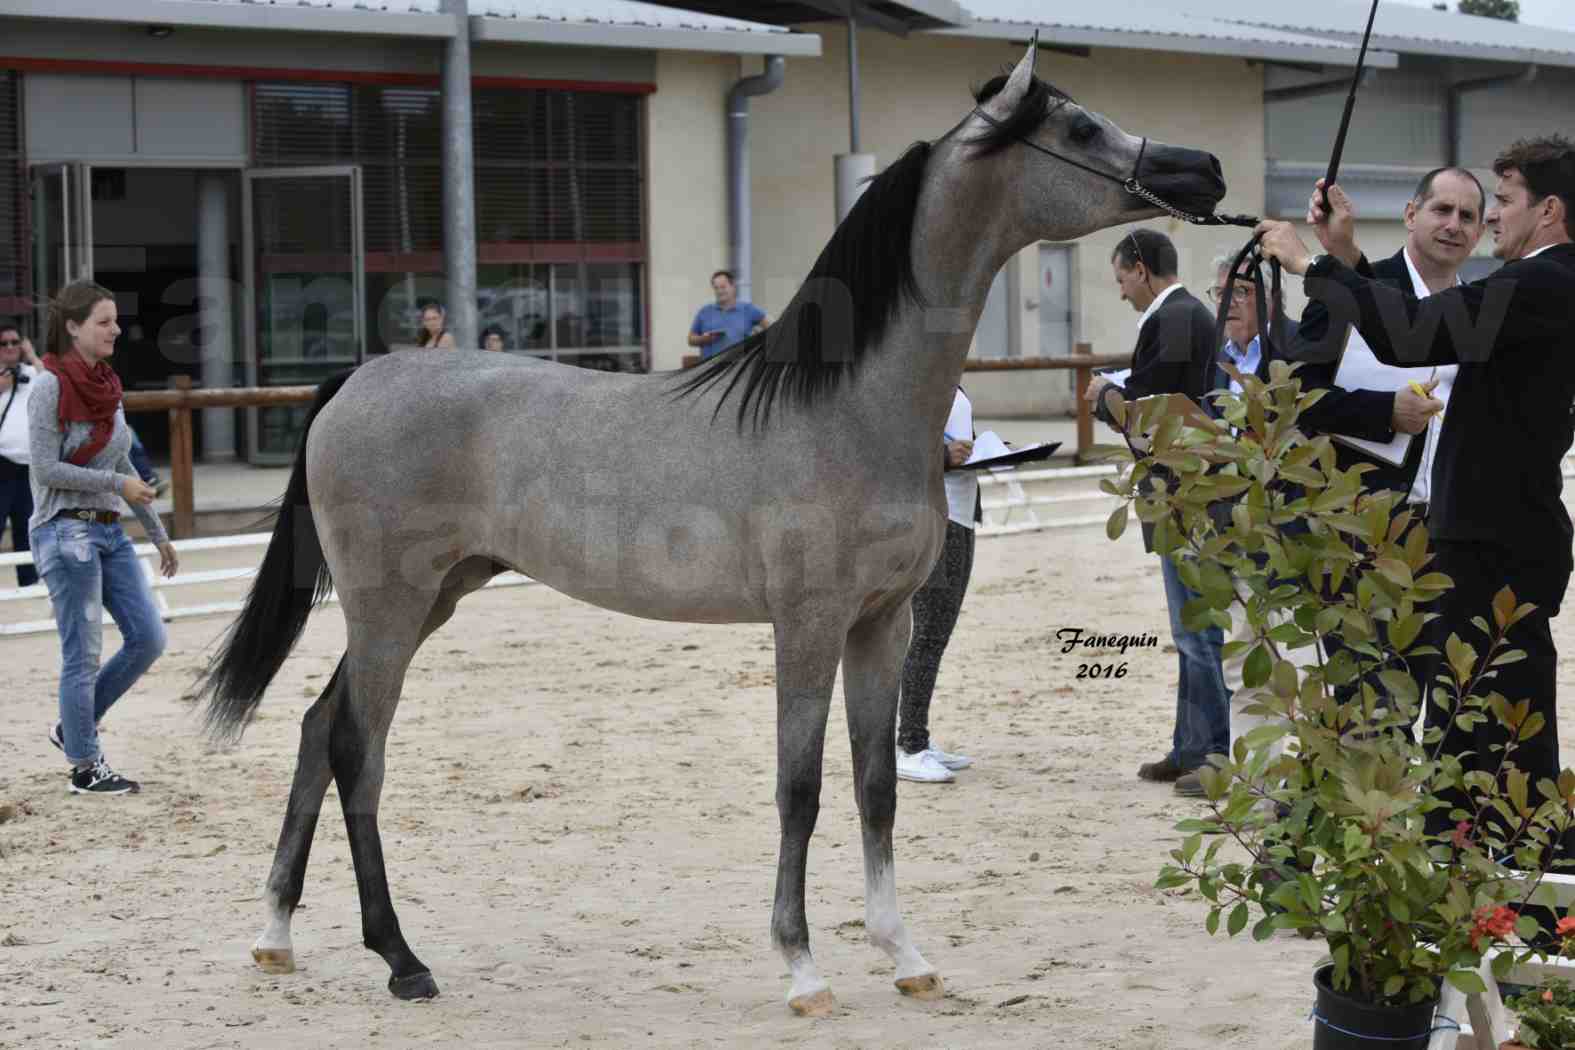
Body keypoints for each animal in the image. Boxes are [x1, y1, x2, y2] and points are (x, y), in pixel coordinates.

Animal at [196, 43, 1228, 1020]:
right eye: (1081, 128)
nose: (1206, 170)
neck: (846, 405)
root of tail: (356, 380)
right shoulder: (807, 626)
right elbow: (800, 788)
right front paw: (803, 970)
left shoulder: (881, 623)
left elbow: (876, 786)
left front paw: (905, 957)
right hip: (388, 607)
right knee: (356, 752)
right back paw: (401, 960)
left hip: (428, 602)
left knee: (317, 727)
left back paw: (275, 935)